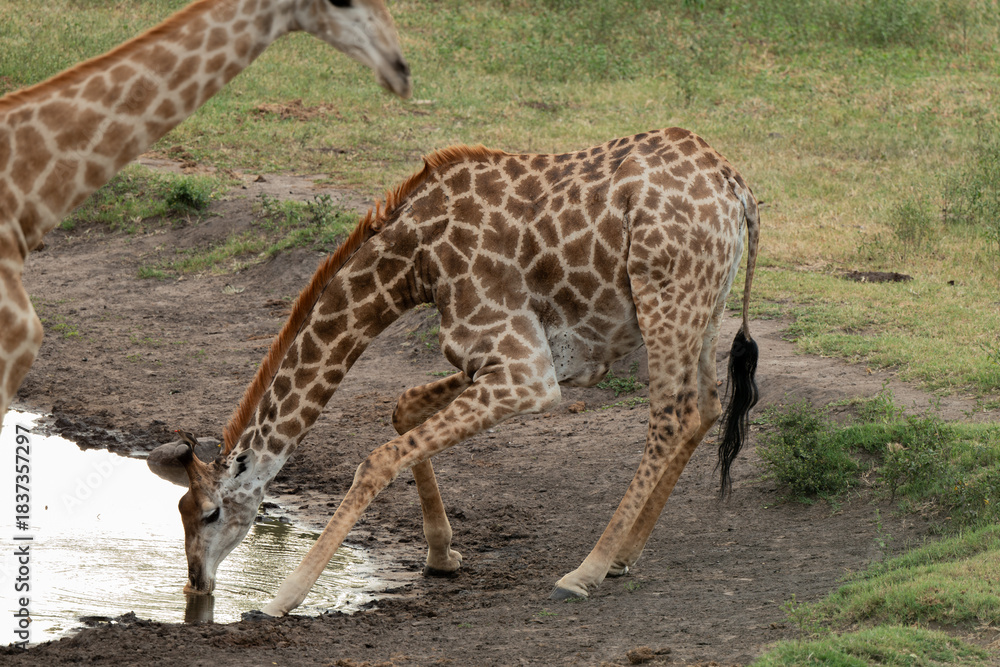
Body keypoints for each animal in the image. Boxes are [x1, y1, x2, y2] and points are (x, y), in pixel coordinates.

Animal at [149, 127, 760, 614]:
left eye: (208, 514)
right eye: (180, 510)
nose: (196, 585)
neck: (415, 261)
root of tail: (737, 187)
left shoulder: (527, 373)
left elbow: (377, 460)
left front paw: (283, 598)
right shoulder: (514, 363)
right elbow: (402, 409)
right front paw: (442, 554)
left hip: (667, 296)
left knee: (670, 414)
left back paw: (584, 571)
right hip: (703, 305)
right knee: (704, 405)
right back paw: (623, 556)